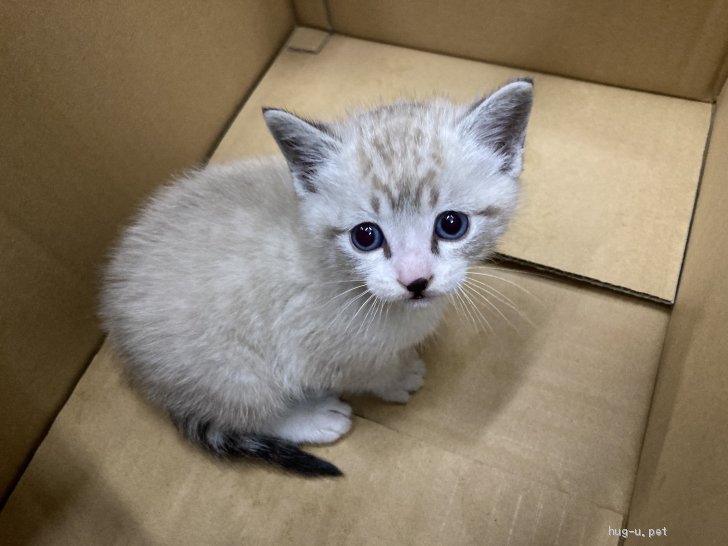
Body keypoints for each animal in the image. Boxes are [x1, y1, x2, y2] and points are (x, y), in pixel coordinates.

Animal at [99, 78, 536, 474]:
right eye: (365, 236)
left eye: (451, 224)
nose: (415, 280)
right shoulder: (311, 347)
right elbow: (367, 369)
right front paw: (397, 376)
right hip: (228, 369)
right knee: (244, 410)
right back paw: (312, 417)